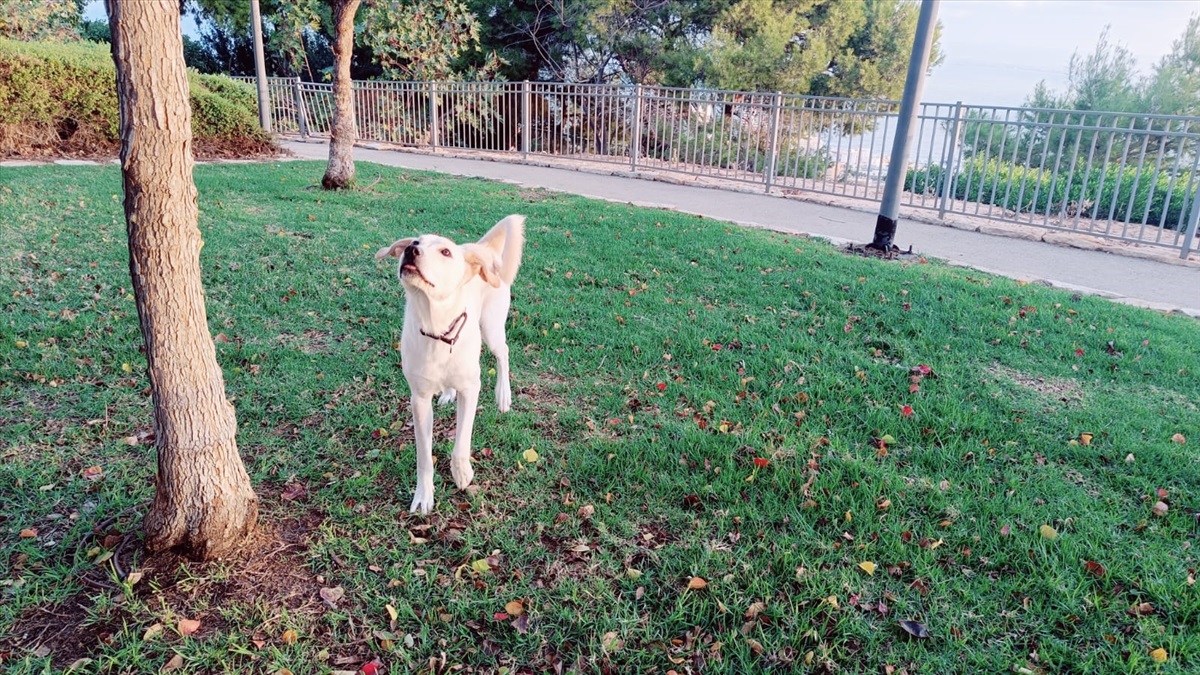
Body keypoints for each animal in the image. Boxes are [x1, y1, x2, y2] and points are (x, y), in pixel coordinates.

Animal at [374, 212, 525, 511]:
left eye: (445, 252)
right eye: (416, 241)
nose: (411, 250)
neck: (437, 326)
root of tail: (481, 249)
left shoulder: (471, 389)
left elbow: (462, 440)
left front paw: (461, 472)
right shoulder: (419, 399)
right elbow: (424, 457)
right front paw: (424, 495)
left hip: (491, 327)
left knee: (503, 353)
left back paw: (503, 394)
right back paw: (447, 393)